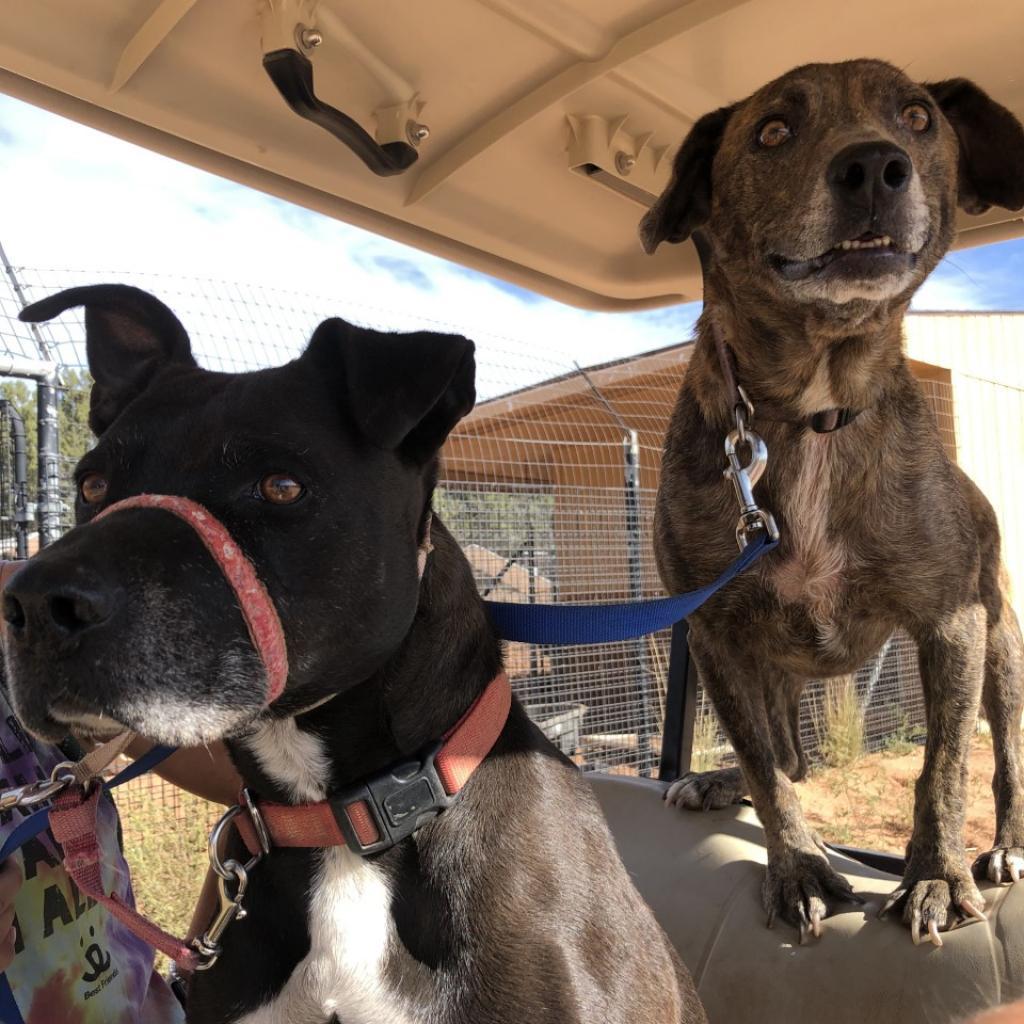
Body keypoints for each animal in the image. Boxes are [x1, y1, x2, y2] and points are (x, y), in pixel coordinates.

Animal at [643, 58, 1024, 942]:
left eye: (917, 117)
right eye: (772, 130)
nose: (876, 166)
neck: (814, 406)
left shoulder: (952, 624)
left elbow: (943, 767)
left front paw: (937, 875)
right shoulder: (715, 632)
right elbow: (765, 762)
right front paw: (798, 867)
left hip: (1002, 651)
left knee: (1006, 760)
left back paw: (1004, 848)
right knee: (784, 751)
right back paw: (720, 784)